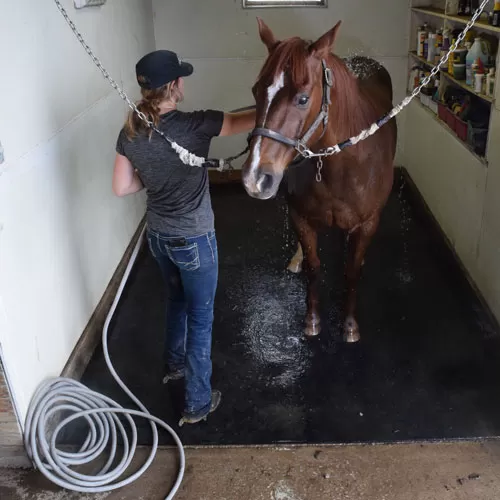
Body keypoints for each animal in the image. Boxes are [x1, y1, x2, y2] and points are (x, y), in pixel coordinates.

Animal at [240, 17, 396, 342]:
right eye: (256, 91)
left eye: (302, 99)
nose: (254, 178)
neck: (341, 166)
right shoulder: (300, 218)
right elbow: (314, 268)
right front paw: (312, 319)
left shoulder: (368, 223)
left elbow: (352, 272)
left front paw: (349, 324)